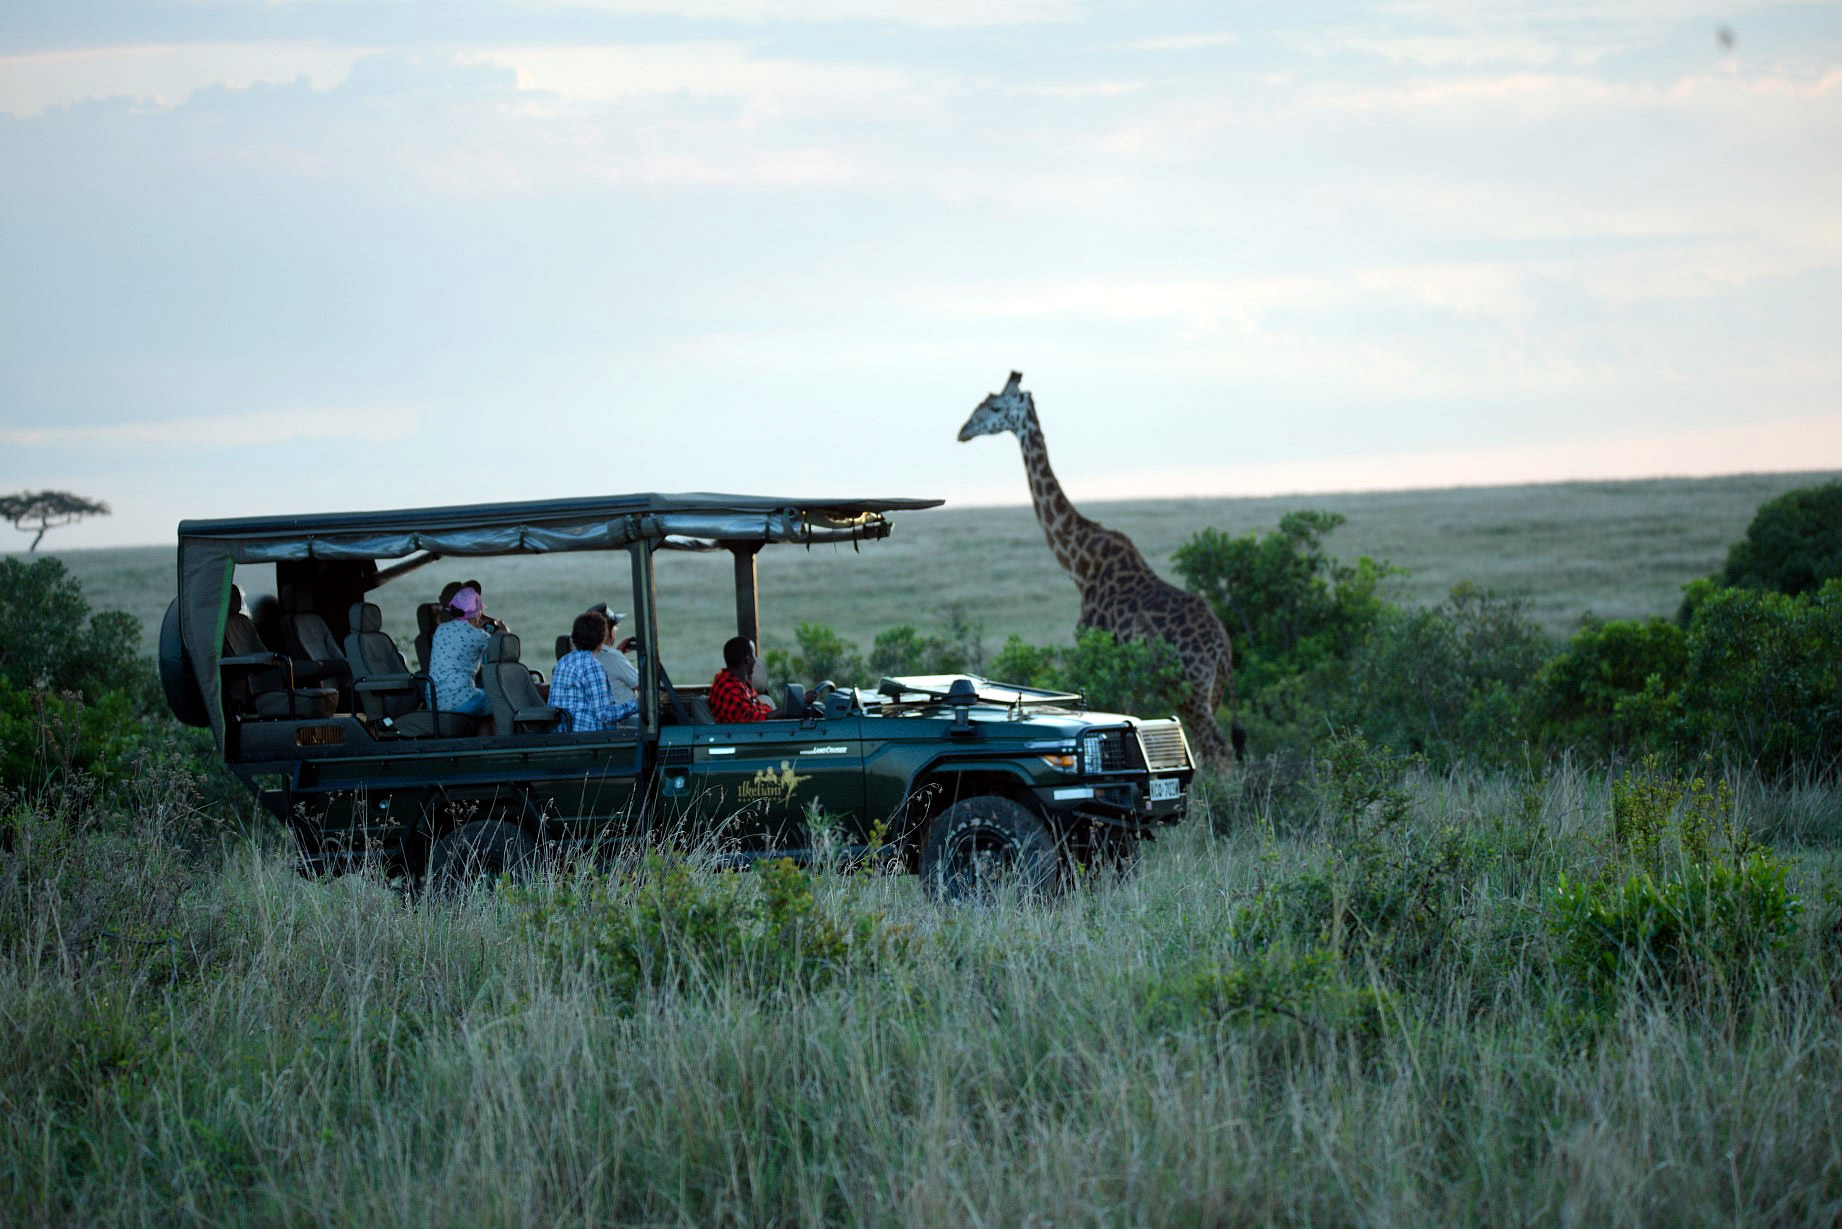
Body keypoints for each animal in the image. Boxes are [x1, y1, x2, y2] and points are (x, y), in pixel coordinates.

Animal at [958, 371, 1242, 767]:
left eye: (996, 407)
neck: (1081, 565)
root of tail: (1221, 650)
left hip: (1189, 691)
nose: (963, 431)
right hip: (1211, 693)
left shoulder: (1094, 645)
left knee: (1219, 750)